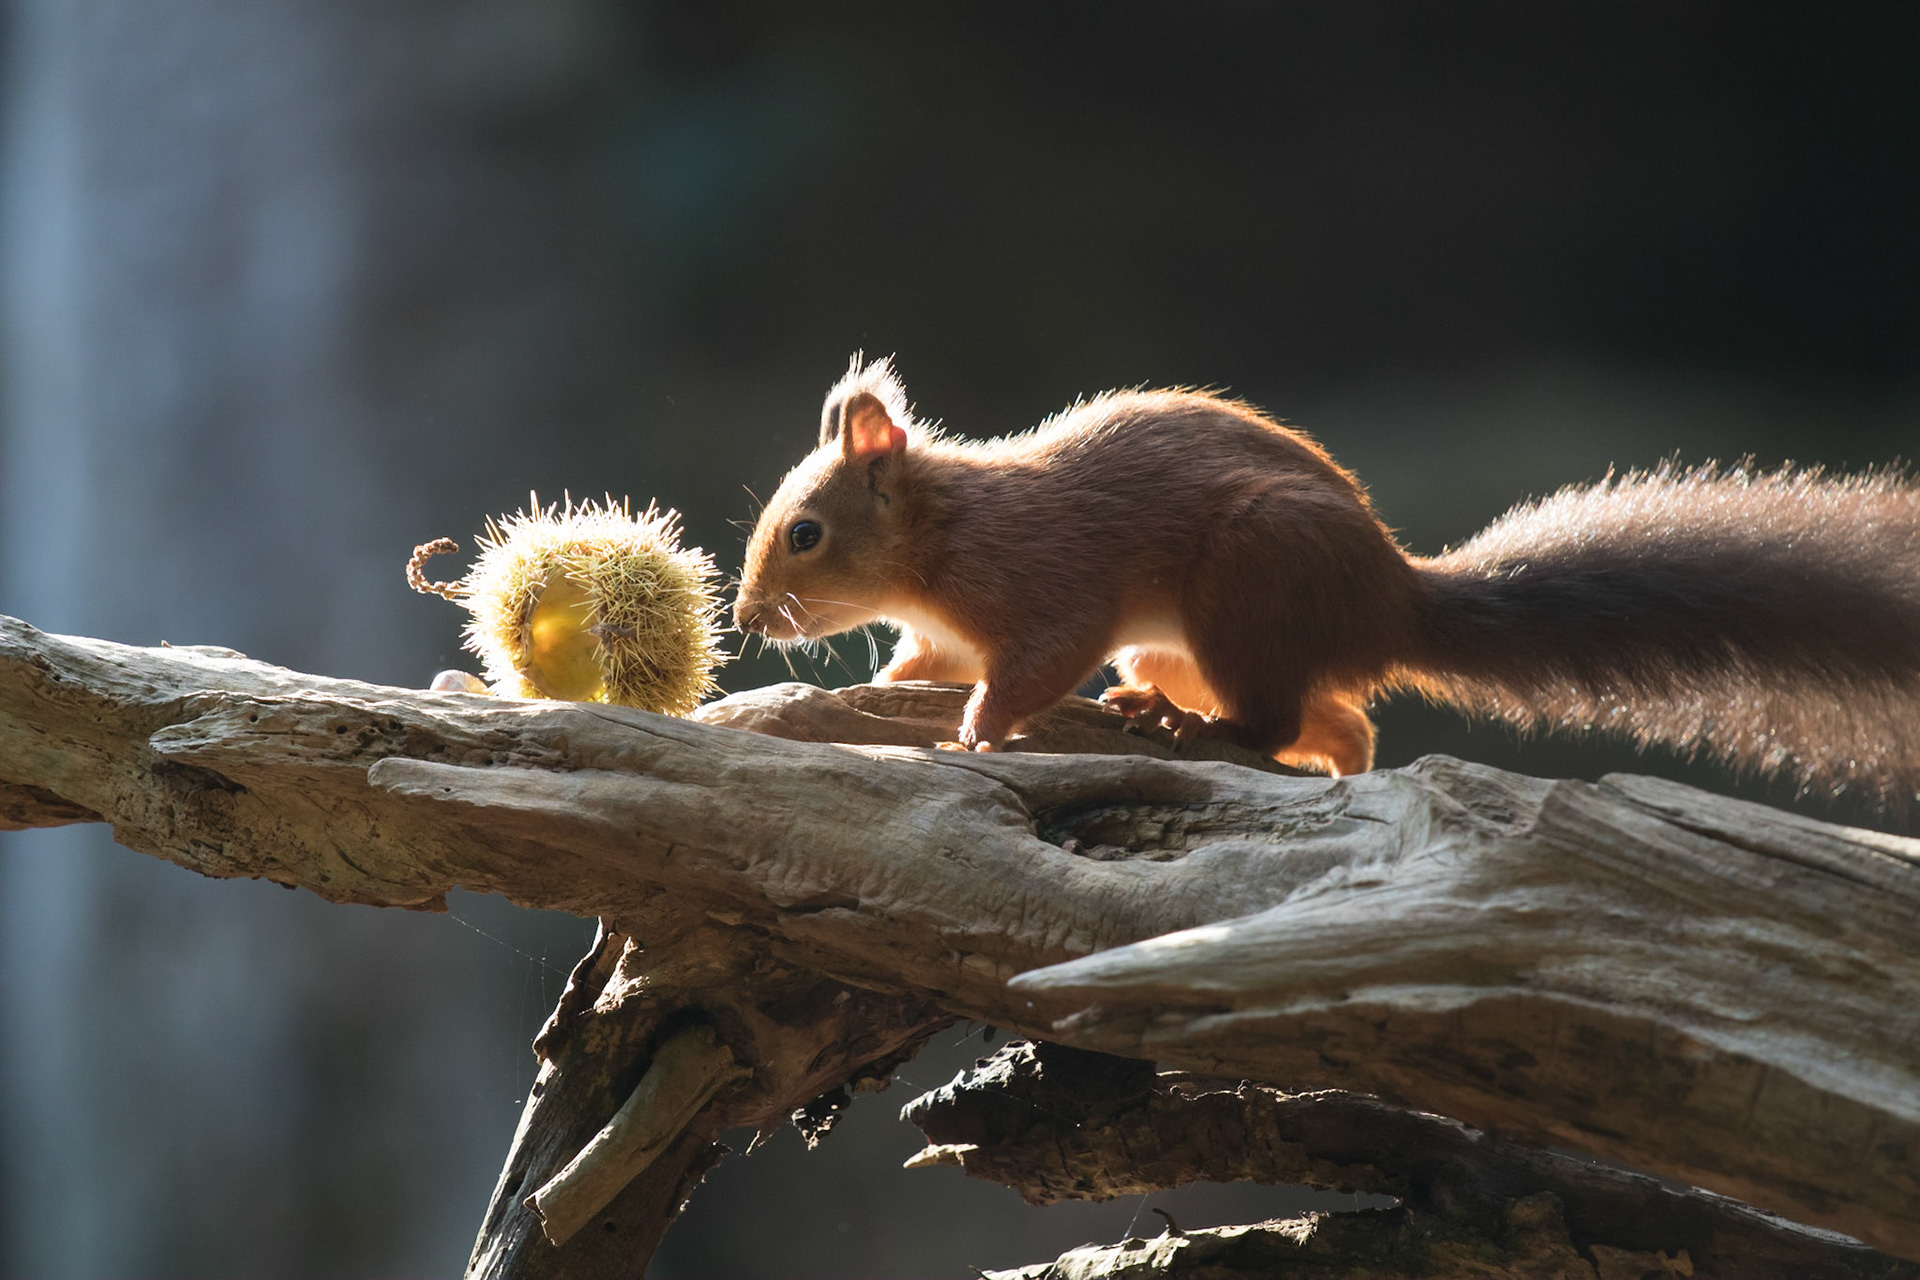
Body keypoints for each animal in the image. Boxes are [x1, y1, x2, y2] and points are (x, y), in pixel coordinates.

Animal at [735, 356, 1920, 805]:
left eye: (805, 532)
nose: (746, 617)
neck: (946, 533)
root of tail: (1391, 598)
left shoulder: (1046, 581)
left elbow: (1034, 664)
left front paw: (980, 729)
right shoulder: (948, 624)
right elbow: (926, 659)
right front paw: (877, 685)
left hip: (1244, 590)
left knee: (1270, 718)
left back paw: (1188, 727)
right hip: (1190, 639)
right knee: (1345, 723)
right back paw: (1303, 756)